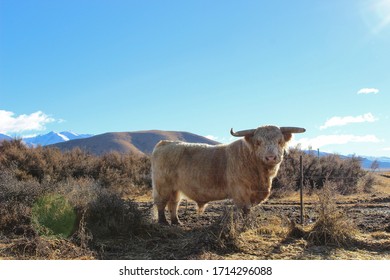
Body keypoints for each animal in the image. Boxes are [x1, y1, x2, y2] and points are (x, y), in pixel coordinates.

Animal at [151, 125, 306, 225]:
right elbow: (245, 210)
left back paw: (177, 222)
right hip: (162, 186)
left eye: (280, 141)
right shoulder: (241, 193)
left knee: (174, 203)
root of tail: (165, 143)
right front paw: (245, 224)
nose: (271, 157)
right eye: (258, 142)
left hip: (175, 189)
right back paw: (163, 222)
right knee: (161, 203)